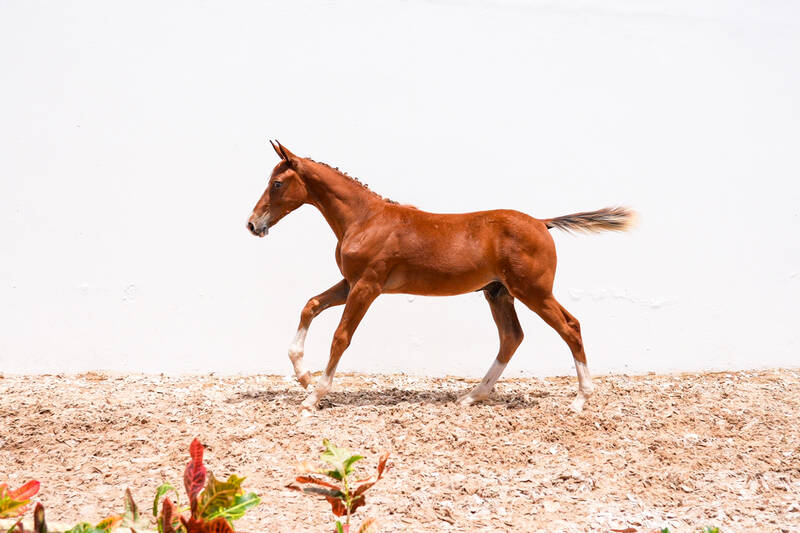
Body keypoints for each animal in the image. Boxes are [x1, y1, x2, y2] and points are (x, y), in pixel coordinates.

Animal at [247, 142, 636, 416]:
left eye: (277, 183)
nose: (252, 224)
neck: (365, 219)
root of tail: (542, 222)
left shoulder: (367, 286)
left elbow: (341, 337)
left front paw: (314, 395)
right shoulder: (350, 283)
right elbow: (310, 305)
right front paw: (302, 375)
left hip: (533, 291)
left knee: (570, 327)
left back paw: (581, 399)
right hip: (499, 293)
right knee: (511, 337)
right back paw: (471, 396)